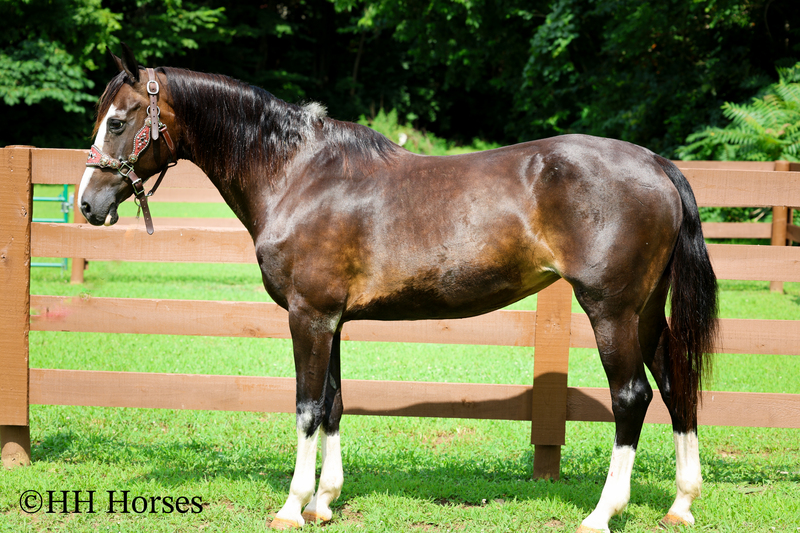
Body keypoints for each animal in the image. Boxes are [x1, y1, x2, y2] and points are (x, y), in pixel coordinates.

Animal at [78, 45, 717, 532]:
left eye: (118, 122)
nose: (87, 205)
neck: (297, 174)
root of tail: (656, 164)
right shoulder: (332, 319)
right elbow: (334, 403)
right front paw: (325, 501)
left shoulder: (308, 317)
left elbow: (307, 406)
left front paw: (292, 505)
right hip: (645, 312)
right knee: (677, 385)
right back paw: (681, 505)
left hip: (611, 310)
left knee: (631, 396)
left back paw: (602, 513)